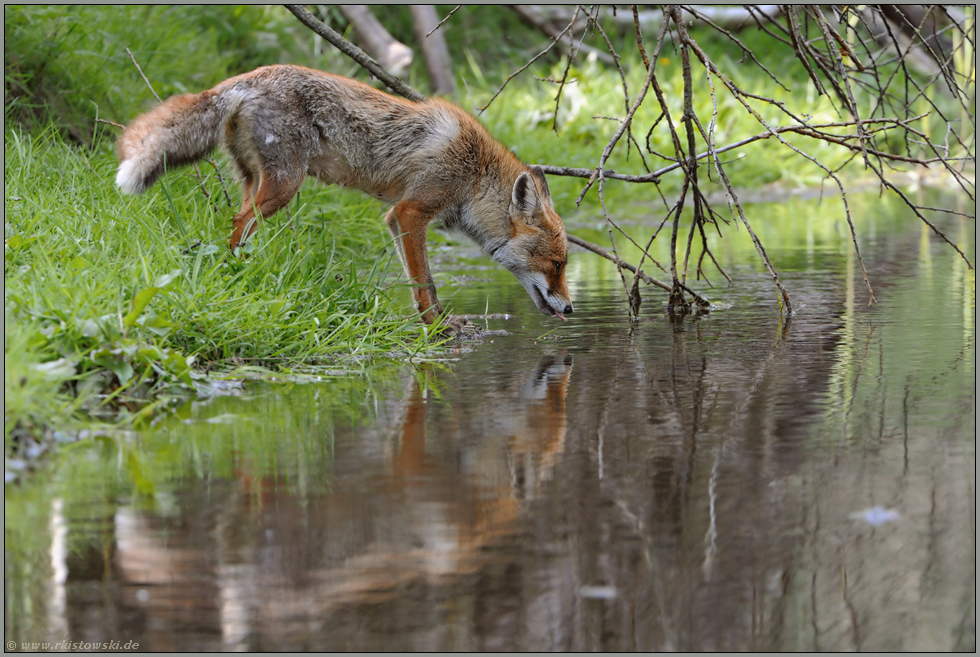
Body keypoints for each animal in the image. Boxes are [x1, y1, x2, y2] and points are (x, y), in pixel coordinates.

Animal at [117, 64, 576, 328]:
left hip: (256, 181)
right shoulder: (411, 212)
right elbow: (424, 280)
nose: (572, 310)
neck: (476, 173)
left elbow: (419, 281)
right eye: (556, 264)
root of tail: (243, 79)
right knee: (238, 223)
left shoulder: (396, 219)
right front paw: (437, 326)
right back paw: (233, 272)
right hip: (284, 186)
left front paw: (438, 319)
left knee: (236, 221)